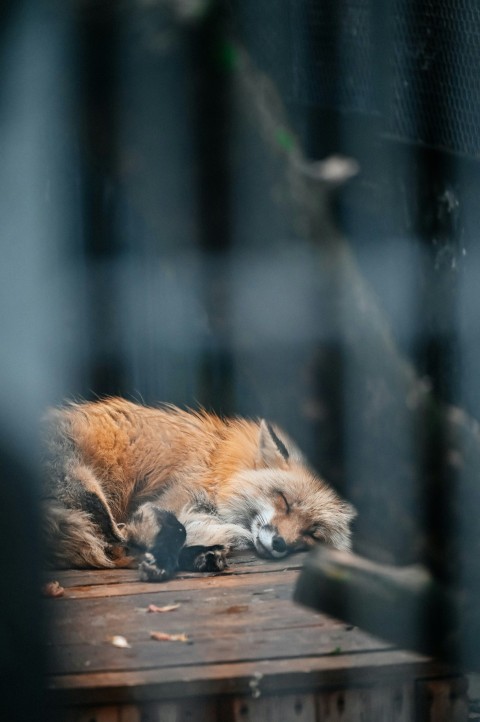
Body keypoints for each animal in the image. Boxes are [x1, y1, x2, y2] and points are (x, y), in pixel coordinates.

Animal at [42, 398, 356, 581]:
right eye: (284, 500)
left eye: (313, 533)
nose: (280, 543)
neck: (216, 463)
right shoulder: (162, 502)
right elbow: (173, 529)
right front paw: (162, 560)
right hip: (88, 490)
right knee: (115, 546)